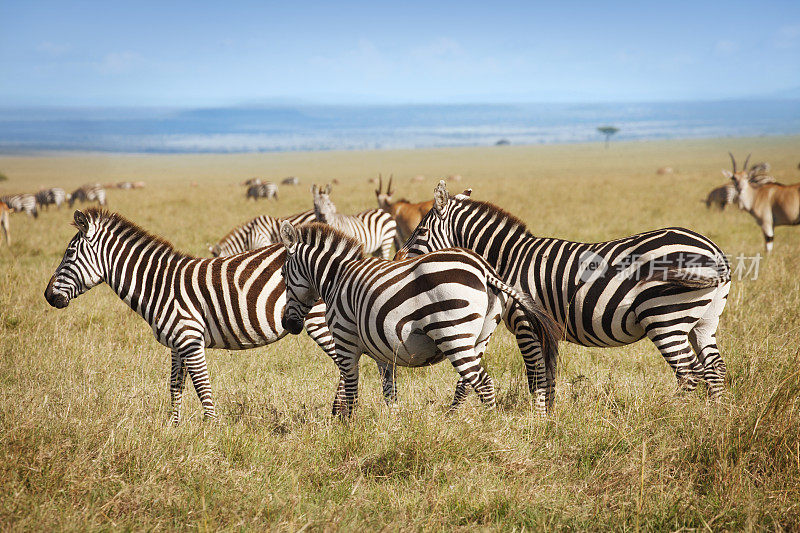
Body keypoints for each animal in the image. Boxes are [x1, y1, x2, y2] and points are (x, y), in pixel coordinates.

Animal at [43, 208, 354, 424]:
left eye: (69, 253)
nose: (47, 296)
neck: (158, 285)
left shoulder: (190, 339)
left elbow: (202, 387)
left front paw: (210, 430)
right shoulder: (176, 343)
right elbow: (175, 386)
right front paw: (174, 428)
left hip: (320, 321)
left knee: (344, 364)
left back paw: (340, 414)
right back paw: (338, 413)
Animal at [278, 220, 560, 416]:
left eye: (282, 274)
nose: (287, 324)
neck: (335, 278)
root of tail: (484, 269)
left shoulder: (345, 342)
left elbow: (351, 389)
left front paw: (349, 428)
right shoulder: (383, 352)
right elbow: (389, 393)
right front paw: (393, 426)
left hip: (452, 333)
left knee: (483, 383)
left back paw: (489, 428)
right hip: (481, 335)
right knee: (471, 381)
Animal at [396, 181, 736, 406]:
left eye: (421, 231)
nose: (398, 259)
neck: (510, 259)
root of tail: (713, 249)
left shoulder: (526, 323)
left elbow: (535, 377)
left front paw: (536, 422)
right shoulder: (549, 329)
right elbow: (550, 378)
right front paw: (549, 422)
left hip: (665, 317)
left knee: (689, 373)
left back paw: (676, 419)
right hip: (704, 320)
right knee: (714, 369)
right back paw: (713, 419)